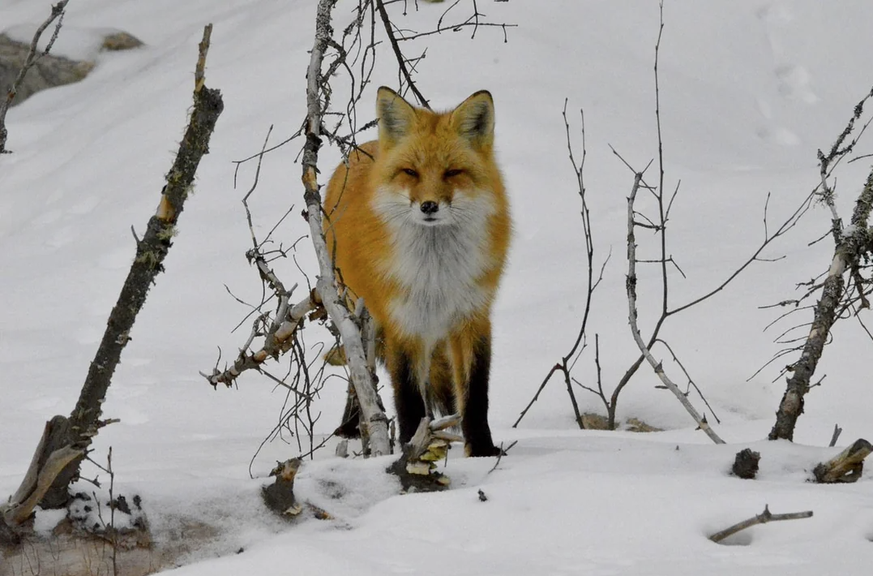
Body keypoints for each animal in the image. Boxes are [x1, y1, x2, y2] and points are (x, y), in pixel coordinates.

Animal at [323, 86, 511, 457]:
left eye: (452, 172)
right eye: (411, 172)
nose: (428, 206)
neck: (437, 273)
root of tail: (365, 147)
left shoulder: (472, 316)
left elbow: (475, 393)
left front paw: (482, 450)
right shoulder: (403, 321)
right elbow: (408, 397)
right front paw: (411, 449)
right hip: (361, 313)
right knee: (359, 371)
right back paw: (351, 426)